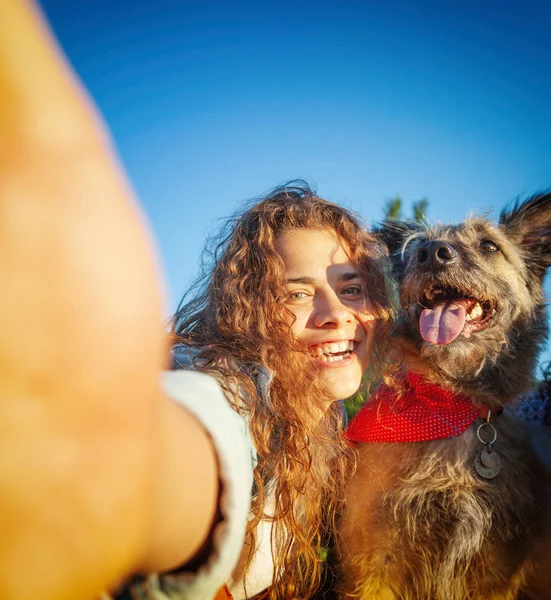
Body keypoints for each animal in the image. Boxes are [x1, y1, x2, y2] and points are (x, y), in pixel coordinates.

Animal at [340, 195, 551, 596]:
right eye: (418, 248)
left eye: (489, 246)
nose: (431, 254)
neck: (451, 404)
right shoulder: (374, 559)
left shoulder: (496, 570)